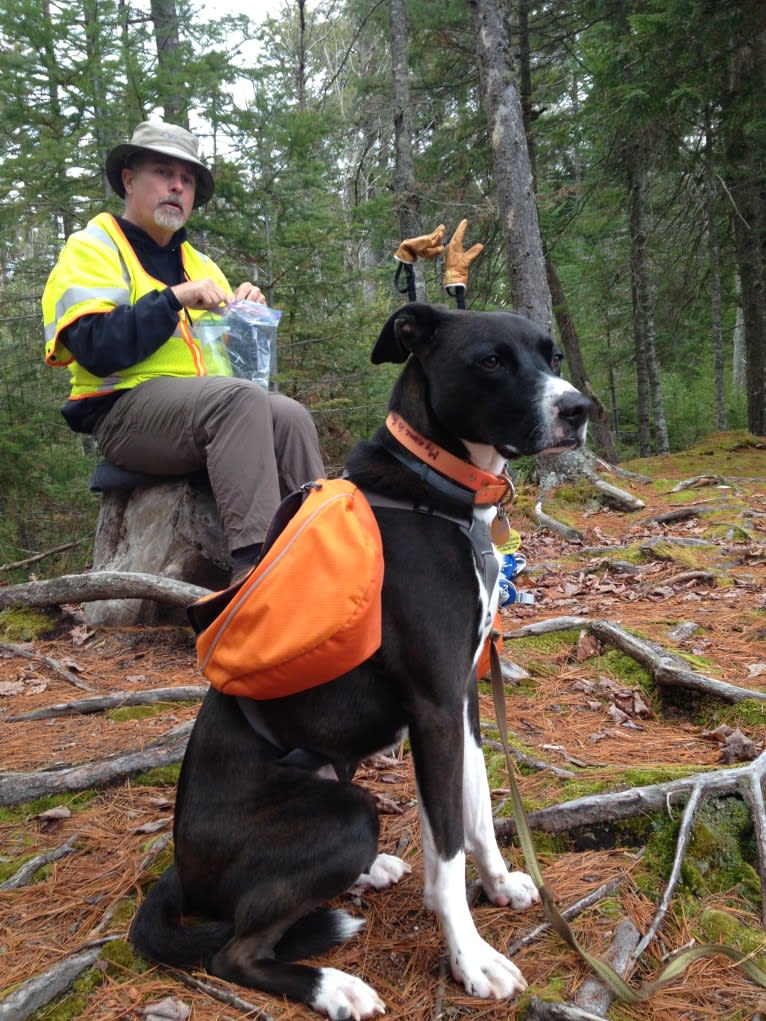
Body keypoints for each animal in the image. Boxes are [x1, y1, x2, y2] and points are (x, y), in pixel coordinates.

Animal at [129, 302, 592, 1021]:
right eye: (491, 360)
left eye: (552, 355)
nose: (579, 409)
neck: (436, 490)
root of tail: (181, 865)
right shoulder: (434, 706)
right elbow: (448, 849)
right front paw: (472, 958)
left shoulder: (461, 699)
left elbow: (475, 809)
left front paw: (498, 883)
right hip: (350, 812)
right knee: (234, 950)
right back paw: (334, 985)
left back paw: (370, 871)